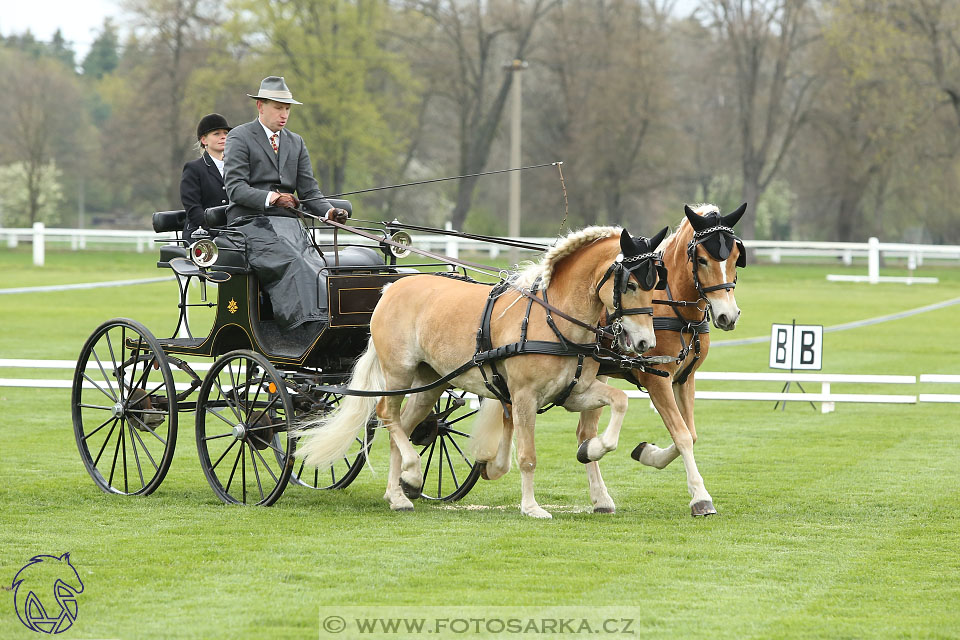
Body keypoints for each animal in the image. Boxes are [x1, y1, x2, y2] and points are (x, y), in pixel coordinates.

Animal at [298, 224, 668, 516]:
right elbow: (528, 455)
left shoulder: (574, 393)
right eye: (630, 284)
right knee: (386, 415)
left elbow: (620, 401)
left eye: (656, 284)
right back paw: (413, 474)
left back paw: (398, 494)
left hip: (430, 382)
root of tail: (393, 287)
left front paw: (593, 448)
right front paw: (531, 507)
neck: (553, 318)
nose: (645, 342)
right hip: (399, 373)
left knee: (401, 426)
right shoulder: (524, 397)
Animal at [572, 202, 748, 516]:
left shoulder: (684, 379)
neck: (674, 308)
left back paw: (600, 495)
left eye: (736, 257)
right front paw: (700, 497)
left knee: (585, 432)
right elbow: (681, 434)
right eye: (702, 259)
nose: (728, 316)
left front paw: (647, 453)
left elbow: (690, 434)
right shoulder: (658, 381)